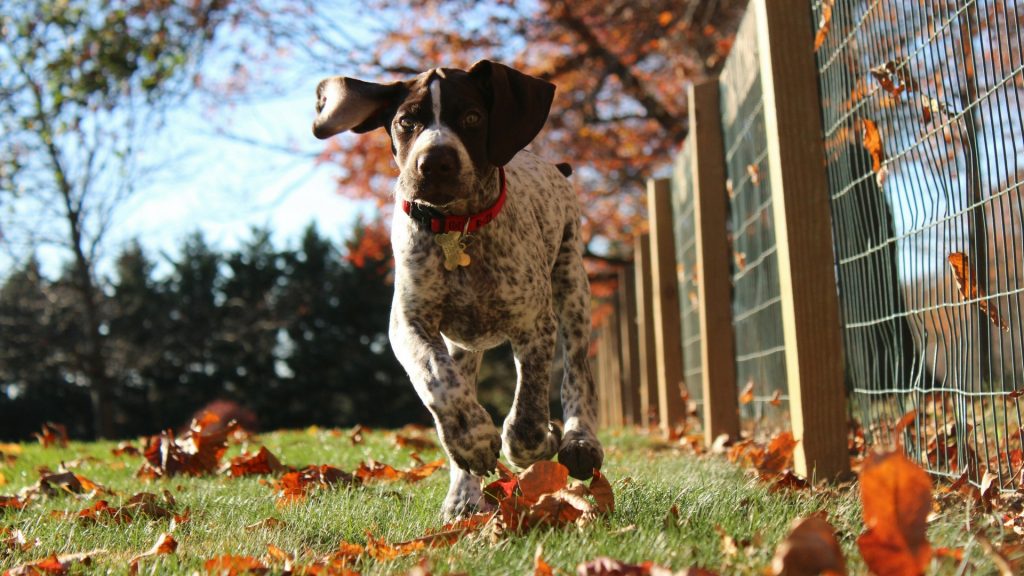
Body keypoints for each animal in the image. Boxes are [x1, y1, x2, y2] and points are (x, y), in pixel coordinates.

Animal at [309, 60, 598, 518]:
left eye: (473, 118)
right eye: (406, 122)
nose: (435, 162)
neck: (456, 230)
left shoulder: (534, 324)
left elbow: (528, 414)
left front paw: (540, 440)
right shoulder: (409, 323)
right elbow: (436, 379)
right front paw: (472, 441)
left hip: (572, 287)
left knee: (577, 373)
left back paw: (580, 441)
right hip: (464, 344)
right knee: (457, 383)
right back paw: (463, 496)